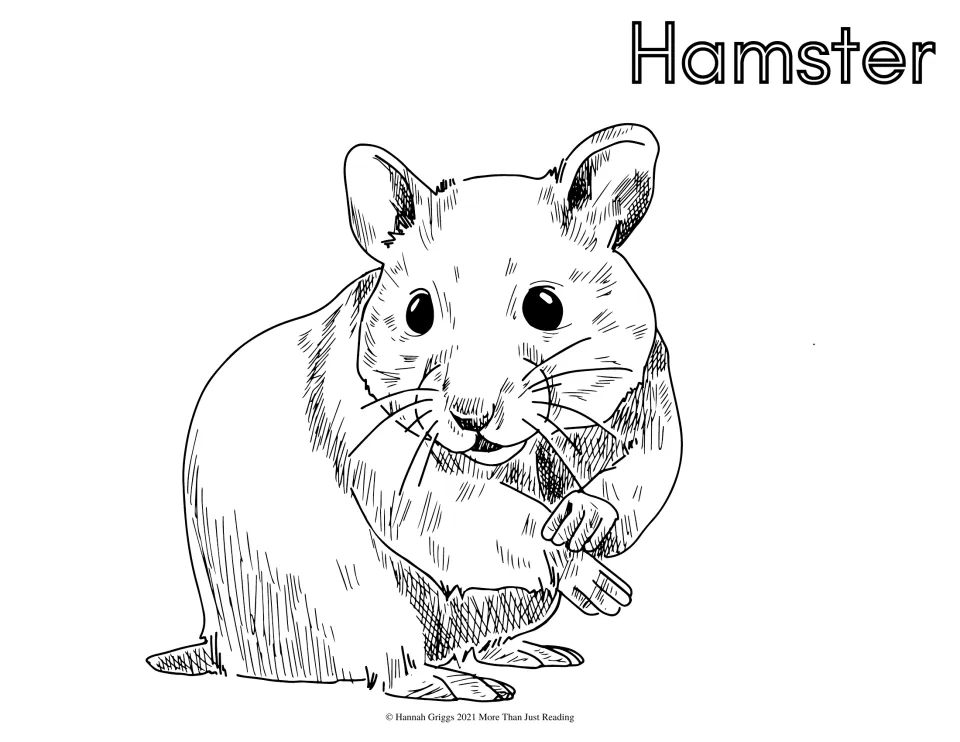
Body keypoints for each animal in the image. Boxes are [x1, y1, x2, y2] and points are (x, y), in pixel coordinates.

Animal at [147, 124, 682, 701]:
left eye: (546, 306)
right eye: (417, 311)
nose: (471, 418)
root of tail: (217, 643)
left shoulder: (649, 396)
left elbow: (638, 476)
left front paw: (581, 520)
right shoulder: (391, 465)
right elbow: (480, 516)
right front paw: (602, 585)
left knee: (481, 641)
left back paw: (534, 656)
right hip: (361, 607)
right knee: (396, 668)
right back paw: (462, 686)